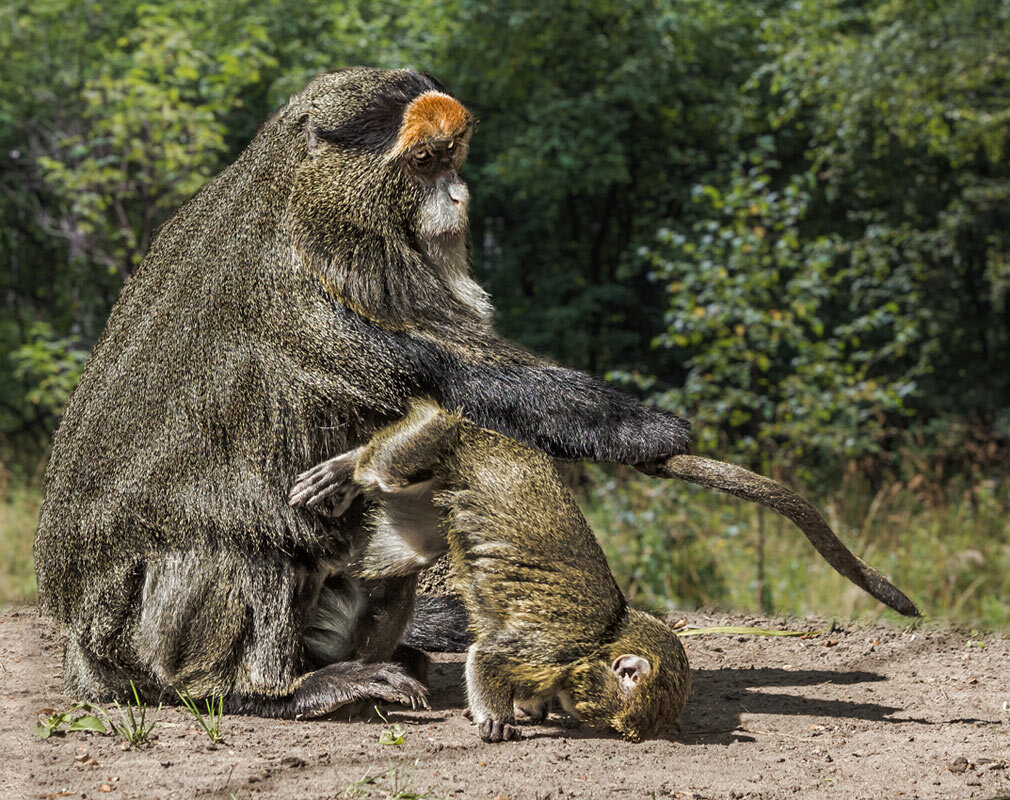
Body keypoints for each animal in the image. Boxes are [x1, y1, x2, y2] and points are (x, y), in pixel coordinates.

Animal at [288, 399, 690, 743]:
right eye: (614, 723)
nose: (603, 726)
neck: (607, 634)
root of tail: (481, 435)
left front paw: (531, 706)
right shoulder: (554, 645)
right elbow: (487, 656)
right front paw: (496, 718)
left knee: (406, 553)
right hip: (432, 442)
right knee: (402, 456)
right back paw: (352, 463)